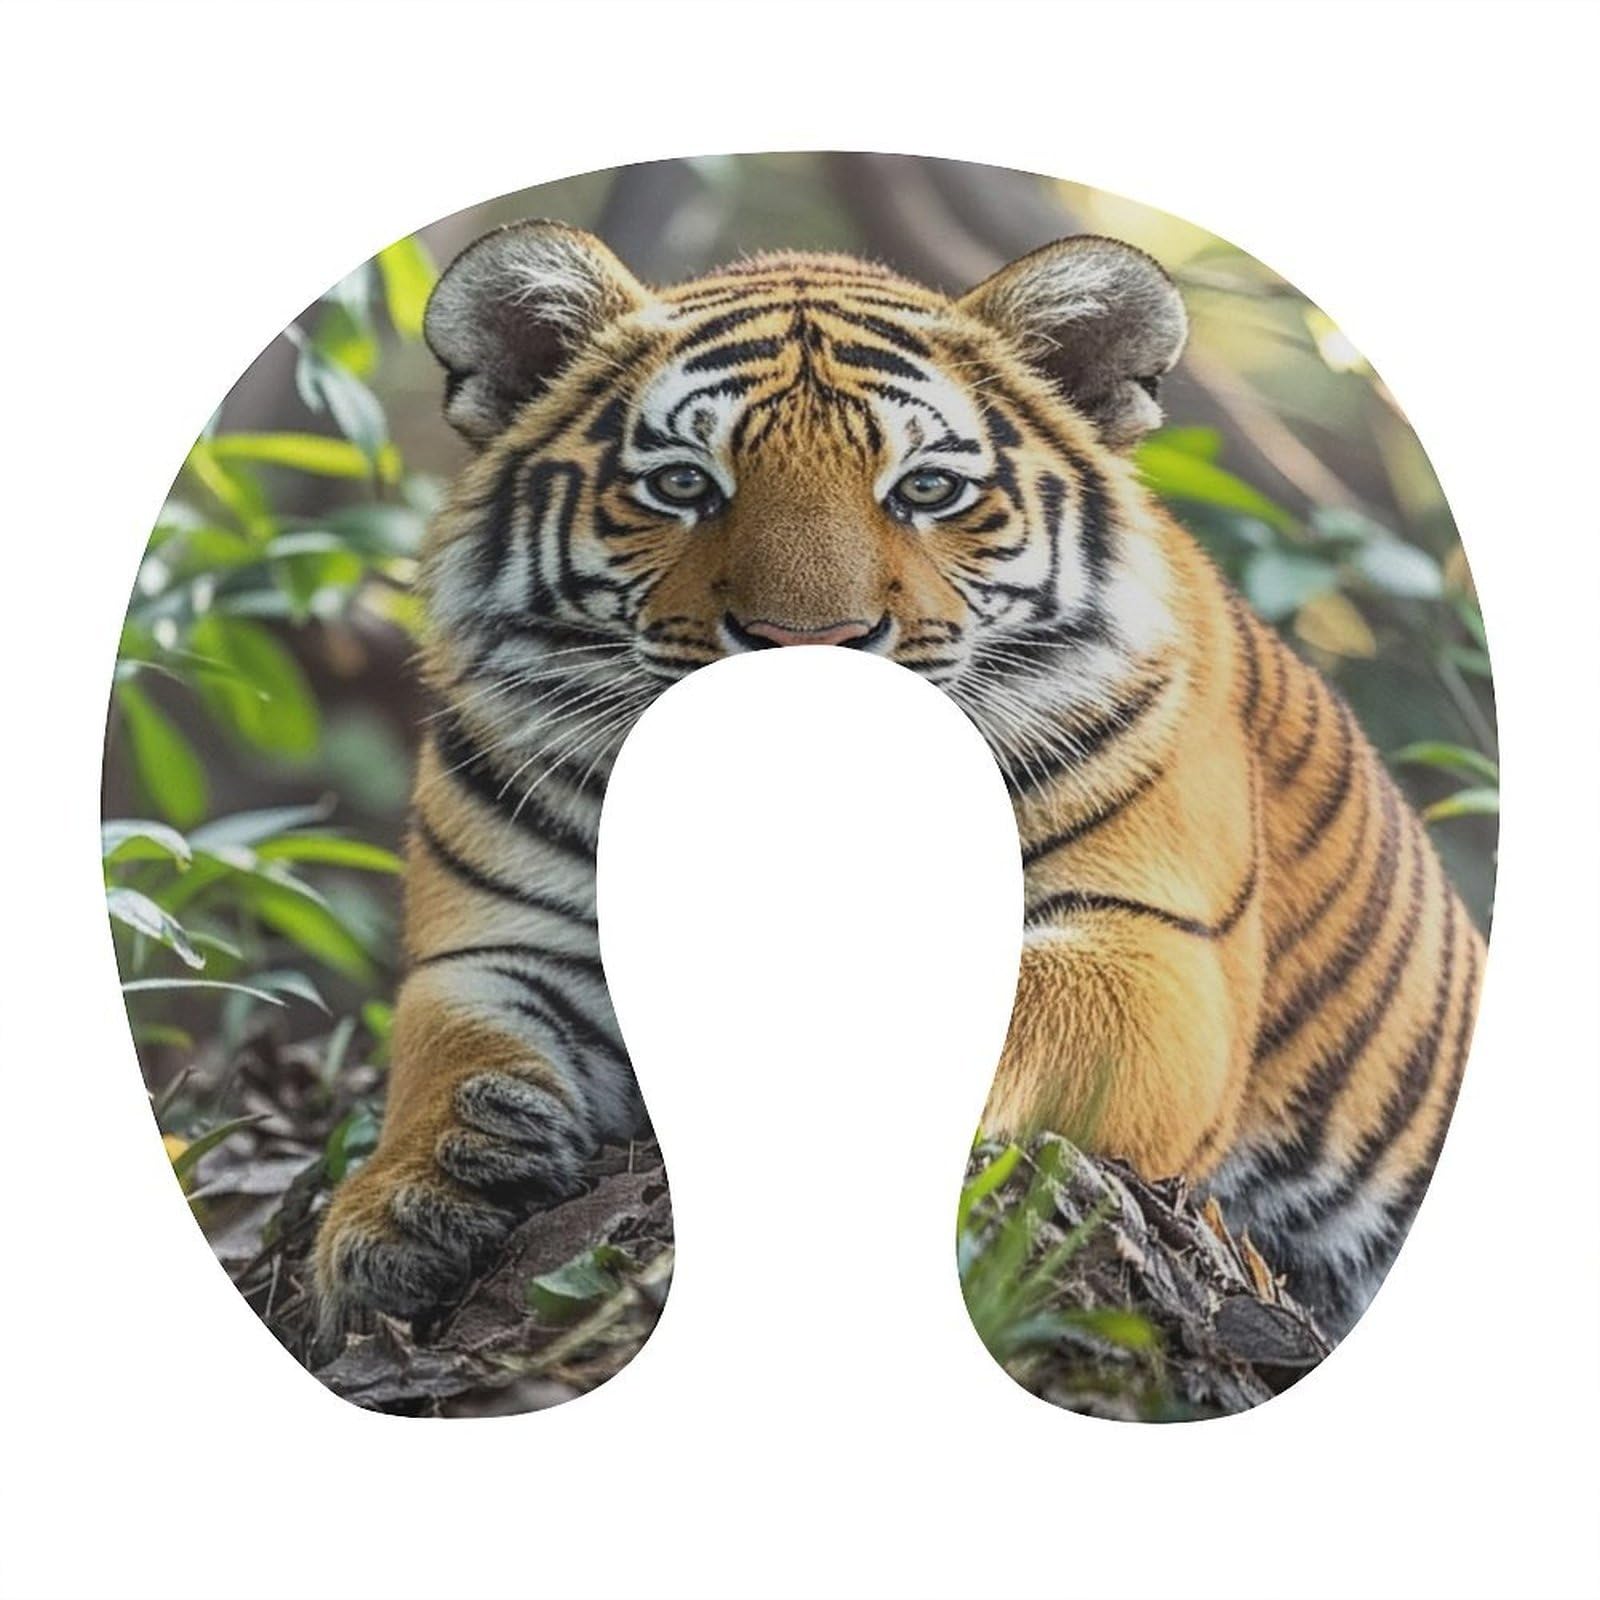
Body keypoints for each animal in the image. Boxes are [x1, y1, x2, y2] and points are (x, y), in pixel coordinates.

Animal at [313, 219, 1485, 1349]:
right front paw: (395, 1214)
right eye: (685, 484)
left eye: (926, 489)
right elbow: (450, 1062)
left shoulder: (1149, 942)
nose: (807, 643)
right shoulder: (500, 947)